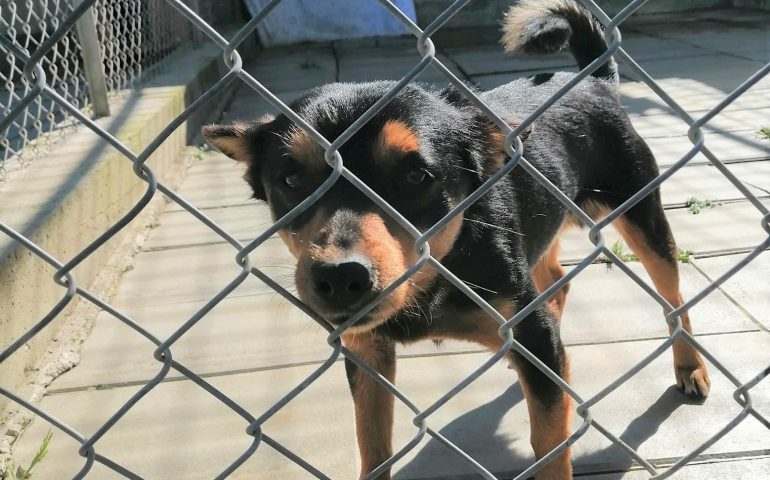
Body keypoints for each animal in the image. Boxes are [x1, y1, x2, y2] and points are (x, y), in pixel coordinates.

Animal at [202, 1, 708, 478]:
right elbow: (372, 443)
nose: (340, 278)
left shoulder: (528, 327)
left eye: (416, 175)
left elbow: (549, 448)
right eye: (289, 180)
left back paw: (690, 367)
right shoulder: (367, 352)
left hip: (642, 216)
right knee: (557, 280)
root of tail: (594, 81)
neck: (436, 272)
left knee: (672, 299)